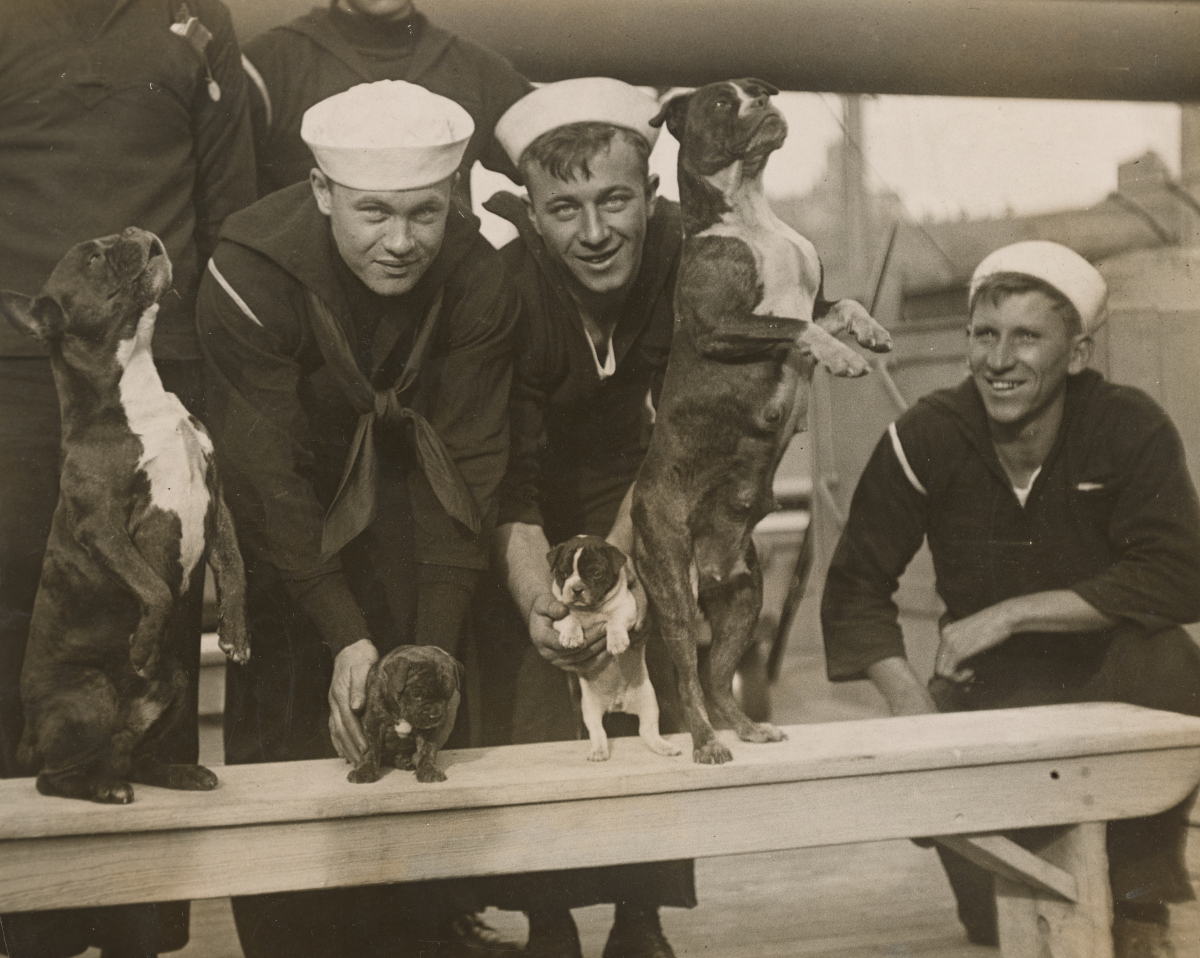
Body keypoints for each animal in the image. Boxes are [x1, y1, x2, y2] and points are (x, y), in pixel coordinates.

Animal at [0, 229, 248, 806]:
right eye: (93, 257)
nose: (139, 233)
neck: (133, 388)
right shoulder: (102, 527)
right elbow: (153, 588)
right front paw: (141, 641)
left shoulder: (217, 498)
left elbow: (234, 566)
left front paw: (236, 634)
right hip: (89, 699)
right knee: (55, 776)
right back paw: (102, 788)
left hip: (176, 683)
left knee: (139, 756)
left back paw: (177, 773)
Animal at [348, 643, 463, 787]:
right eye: (416, 694)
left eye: (448, 695)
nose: (435, 716)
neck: (400, 713)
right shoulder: (373, 723)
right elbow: (372, 749)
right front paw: (365, 770)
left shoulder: (429, 732)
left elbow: (427, 750)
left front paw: (428, 769)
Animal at [549, 535, 681, 763]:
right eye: (563, 573)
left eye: (596, 573)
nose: (576, 589)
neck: (592, 610)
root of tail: (618, 703)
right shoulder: (559, 612)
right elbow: (569, 618)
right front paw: (572, 636)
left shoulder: (628, 608)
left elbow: (614, 620)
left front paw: (617, 641)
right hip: (590, 710)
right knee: (599, 732)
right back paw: (599, 751)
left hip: (649, 702)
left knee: (648, 731)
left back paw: (663, 746)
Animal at [633, 78, 897, 763]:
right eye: (722, 104)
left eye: (756, 90)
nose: (764, 102)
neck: (749, 211)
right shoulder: (721, 324)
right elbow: (793, 325)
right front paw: (842, 358)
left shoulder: (817, 297)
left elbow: (839, 306)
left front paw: (870, 334)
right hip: (674, 594)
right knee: (685, 677)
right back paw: (707, 744)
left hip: (744, 599)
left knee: (716, 676)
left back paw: (749, 728)